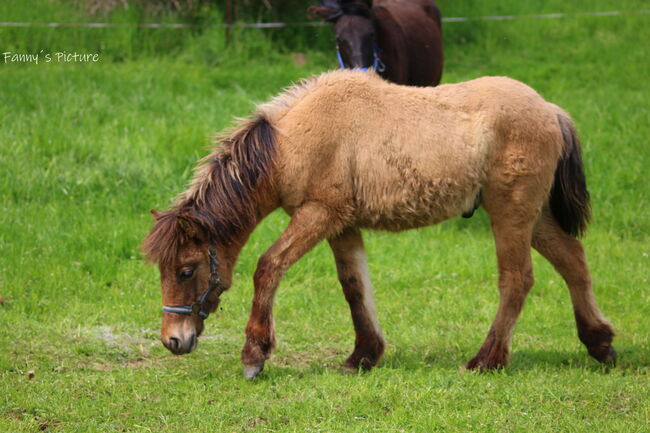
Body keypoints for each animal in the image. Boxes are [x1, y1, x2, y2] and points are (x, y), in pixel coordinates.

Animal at [142, 69, 612, 376]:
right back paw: (600, 342)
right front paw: (364, 356)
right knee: (573, 261)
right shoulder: (340, 225)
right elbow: (354, 286)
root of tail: (551, 109)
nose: (172, 340)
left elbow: (268, 267)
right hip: (532, 216)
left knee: (517, 280)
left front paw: (255, 355)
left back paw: (487, 360)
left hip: (511, 214)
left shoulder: (318, 214)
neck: (291, 142)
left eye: (186, 270)